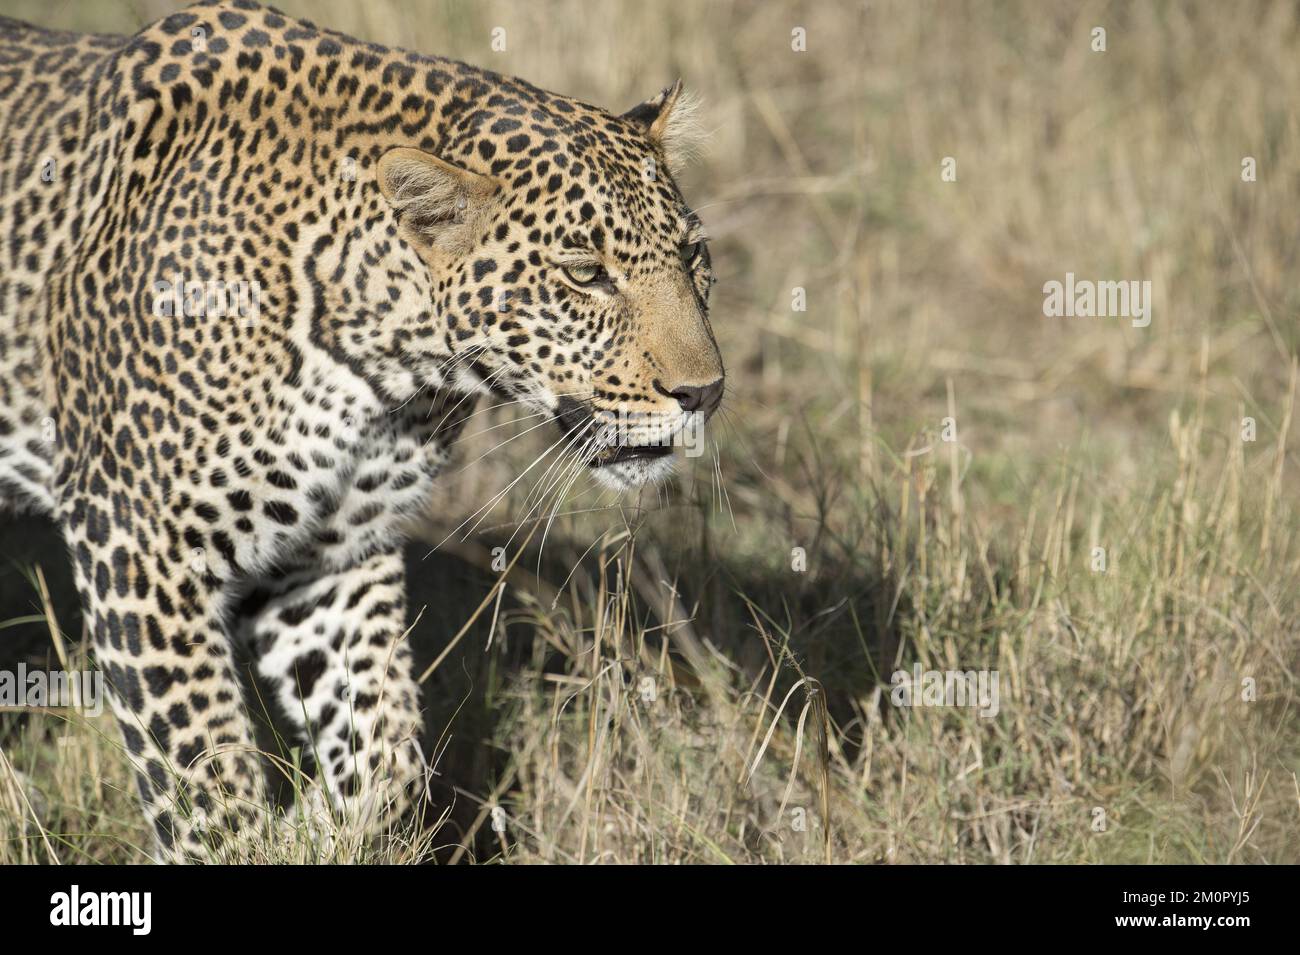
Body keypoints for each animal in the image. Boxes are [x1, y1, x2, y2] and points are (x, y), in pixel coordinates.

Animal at [0, 0, 722, 862]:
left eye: (694, 255)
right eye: (585, 273)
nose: (705, 392)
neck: (390, 358)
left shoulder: (333, 552)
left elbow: (387, 749)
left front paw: (312, 827)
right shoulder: (140, 541)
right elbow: (206, 785)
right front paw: (258, 836)